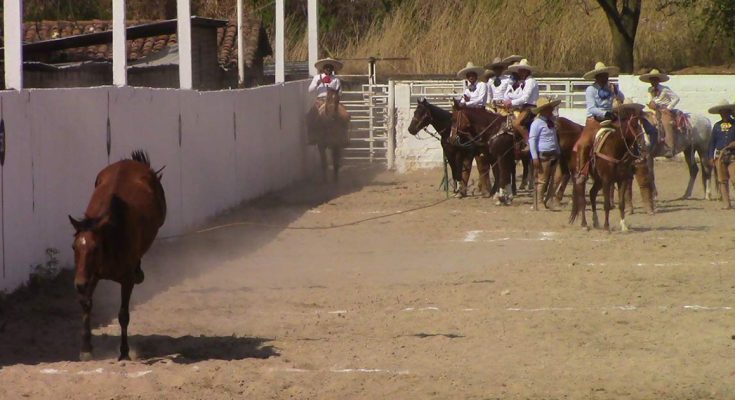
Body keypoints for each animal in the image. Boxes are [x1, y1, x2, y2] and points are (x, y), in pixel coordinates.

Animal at [69, 151, 167, 362]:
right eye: (74, 247)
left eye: (95, 248)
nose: (79, 284)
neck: (111, 234)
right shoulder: (90, 275)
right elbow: (86, 305)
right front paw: (86, 348)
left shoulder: (126, 280)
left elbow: (123, 315)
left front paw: (124, 352)